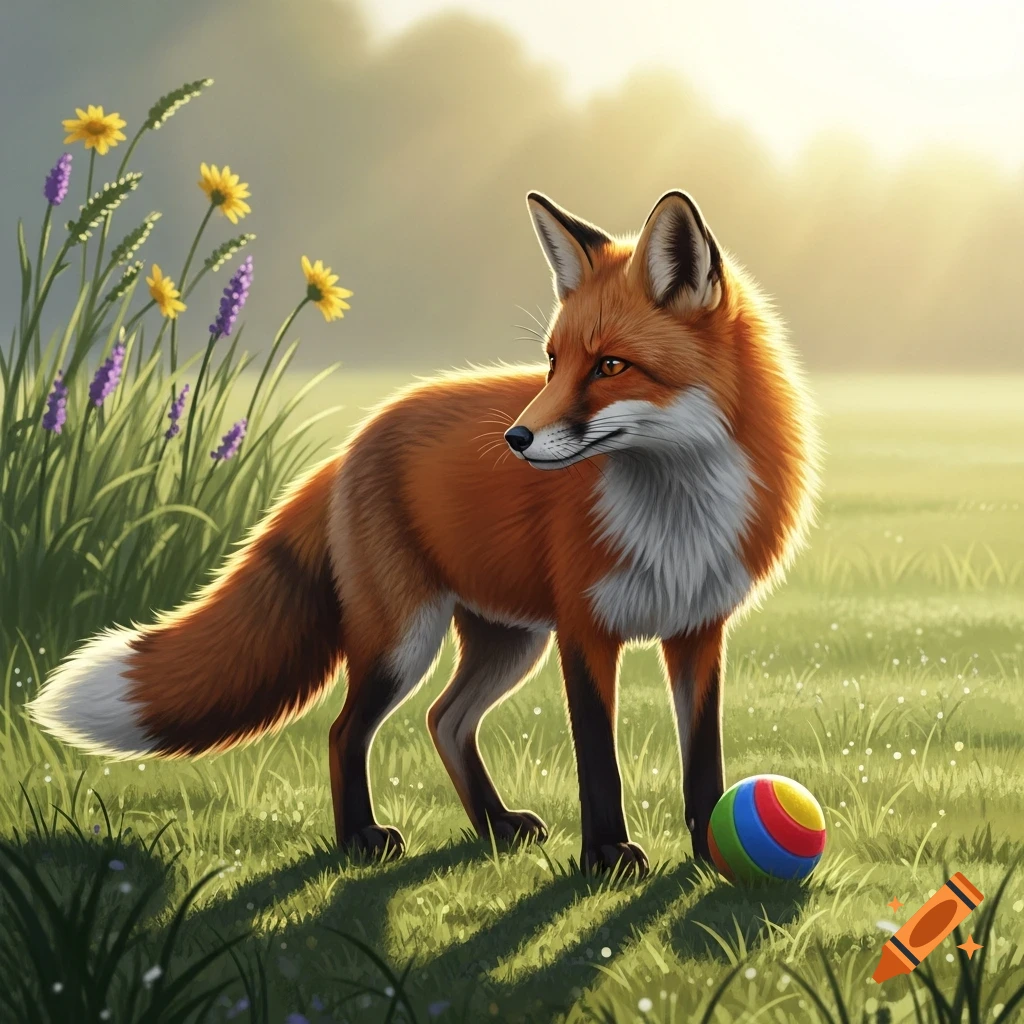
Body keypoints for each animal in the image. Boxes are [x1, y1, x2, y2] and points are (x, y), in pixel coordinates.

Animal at [29, 190, 818, 878]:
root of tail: (356, 439)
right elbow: (599, 760)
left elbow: (702, 759)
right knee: (348, 730)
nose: (516, 440)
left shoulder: (699, 630)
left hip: (509, 641)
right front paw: (605, 858)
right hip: (403, 641)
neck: (676, 512)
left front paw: (710, 852)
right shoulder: (585, 631)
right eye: (553, 362)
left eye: (611, 366)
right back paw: (360, 839)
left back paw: (493, 826)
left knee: (445, 719)